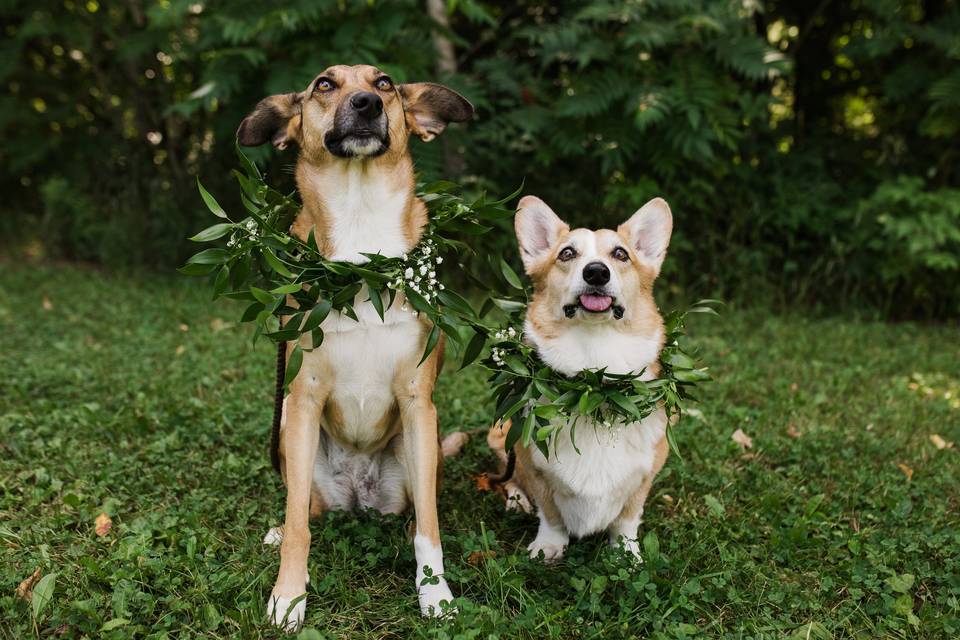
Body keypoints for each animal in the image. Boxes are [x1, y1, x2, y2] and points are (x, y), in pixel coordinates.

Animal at [234, 65, 470, 632]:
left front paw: (435, 594)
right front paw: (288, 596)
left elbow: (430, 527)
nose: (366, 104)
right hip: (288, 433)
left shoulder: (418, 400)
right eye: (324, 84)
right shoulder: (302, 396)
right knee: (306, 509)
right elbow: (299, 524)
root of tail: (359, 498)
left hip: (418, 448)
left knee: (415, 512)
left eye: (384, 83)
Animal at [492, 194, 672, 560]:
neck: (594, 383)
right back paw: (516, 500)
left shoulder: (645, 475)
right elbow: (550, 514)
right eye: (567, 253)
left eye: (620, 254)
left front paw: (627, 554)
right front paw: (548, 547)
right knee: (510, 477)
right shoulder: (535, 466)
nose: (596, 272)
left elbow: (628, 519)